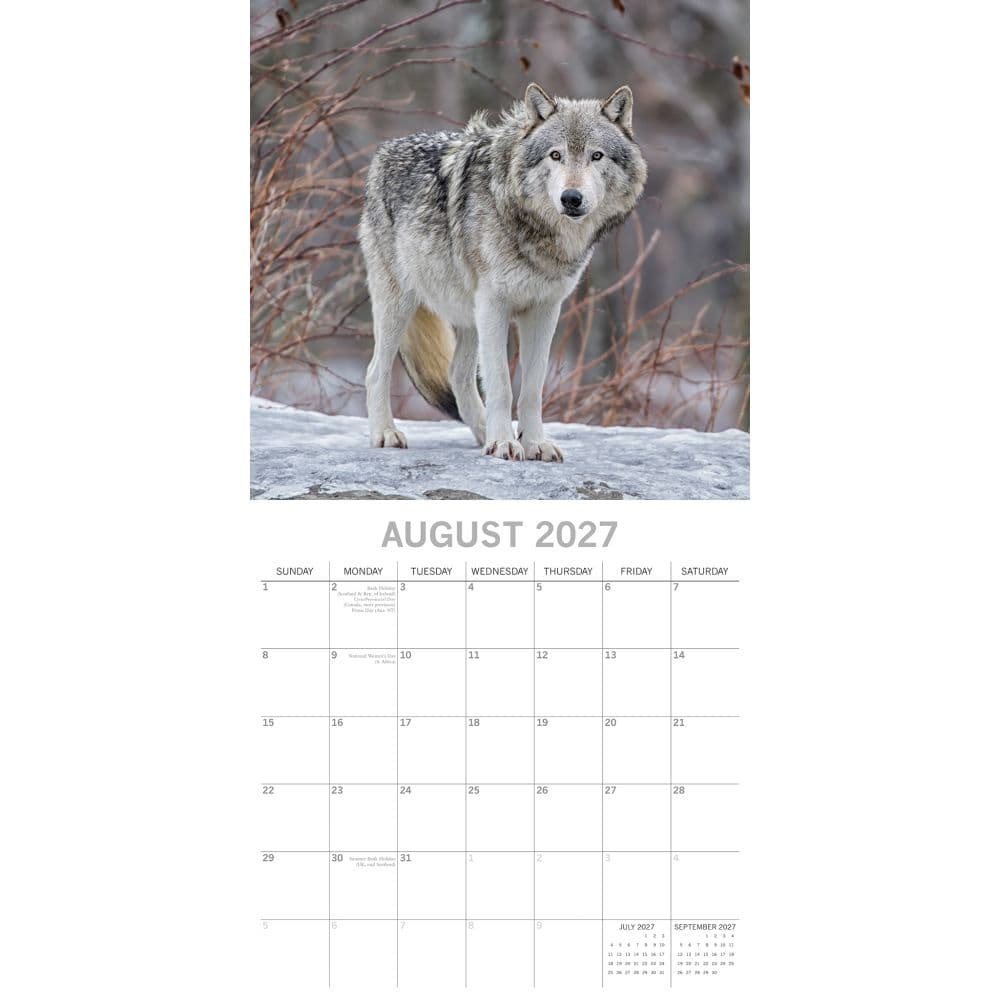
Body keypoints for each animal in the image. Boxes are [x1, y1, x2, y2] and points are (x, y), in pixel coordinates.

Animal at [360, 82, 647, 461]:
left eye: (596, 156)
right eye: (556, 155)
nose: (571, 198)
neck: (538, 235)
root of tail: (385, 150)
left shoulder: (544, 310)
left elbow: (531, 389)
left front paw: (533, 443)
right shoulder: (494, 306)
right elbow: (501, 385)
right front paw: (503, 443)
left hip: (467, 318)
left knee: (457, 375)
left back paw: (482, 432)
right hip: (401, 305)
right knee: (375, 370)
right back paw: (386, 433)